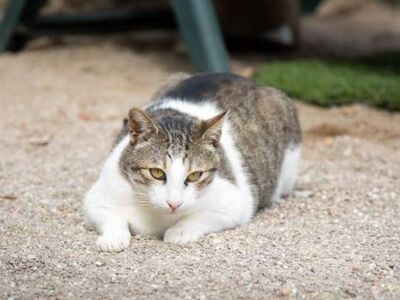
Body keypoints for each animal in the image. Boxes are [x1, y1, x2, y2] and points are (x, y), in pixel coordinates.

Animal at [83, 72, 300, 251]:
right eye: (157, 173)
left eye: (195, 175)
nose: (174, 204)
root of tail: (251, 80)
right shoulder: (97, 196)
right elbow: (110, 217)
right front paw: (113, 238)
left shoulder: (238, 201)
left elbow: (201, 217)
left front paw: (179, 231)